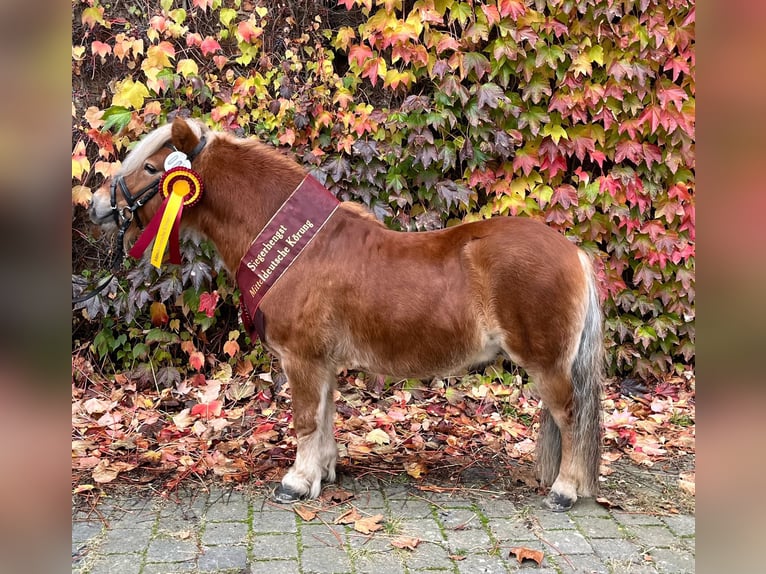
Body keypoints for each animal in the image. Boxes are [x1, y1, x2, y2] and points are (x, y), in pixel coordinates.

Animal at [90, 118, 604, 512]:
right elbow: (324, 417)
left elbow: (304, 420)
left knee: (570, 416)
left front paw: (296, 482)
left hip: (548, 364)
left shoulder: (300, 359)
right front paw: (323, 471)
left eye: (151, 167)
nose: (97, 206)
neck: (300, 247)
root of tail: (573, 253)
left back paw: (564, 492)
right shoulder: (322, 363)